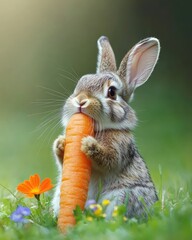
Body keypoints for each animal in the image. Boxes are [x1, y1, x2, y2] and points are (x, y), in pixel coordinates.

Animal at [51, 36, 160, 219]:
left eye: (112, 92)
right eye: (78, 85)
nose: (80, 100)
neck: (98, 129)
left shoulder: (120, 147)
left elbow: (109, 160)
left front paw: (89, 144)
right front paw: (61, 143)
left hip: (121, 196)